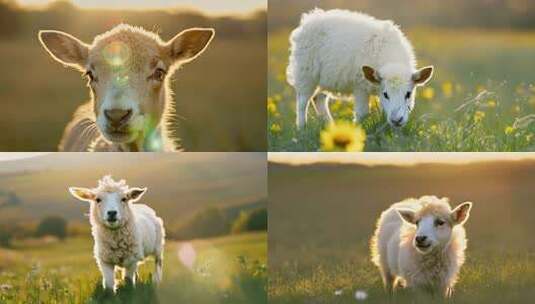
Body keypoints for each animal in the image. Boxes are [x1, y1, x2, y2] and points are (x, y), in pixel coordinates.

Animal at [288, 8, 436, 129]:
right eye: (386, 94)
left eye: (408, 94)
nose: (396, 120)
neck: (392, 60)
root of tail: (311, 18)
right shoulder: (360, 86)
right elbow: (362, 113)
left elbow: (383, 112)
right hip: (305, 73)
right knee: (302, 102)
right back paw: (302, 128)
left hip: (325, 78)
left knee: (319, 99)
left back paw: (330, 126)